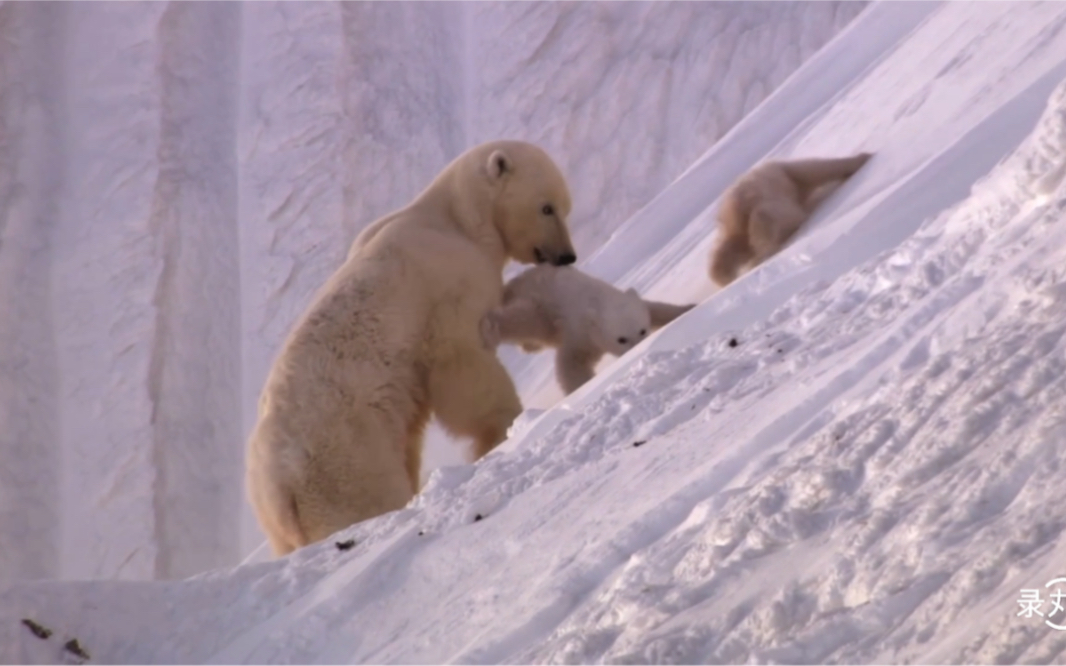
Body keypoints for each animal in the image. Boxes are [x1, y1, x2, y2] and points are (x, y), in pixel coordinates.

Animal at [246, 140, 579, 554]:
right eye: (546, 207)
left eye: (564, 206)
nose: (567, 256)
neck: (455, 219)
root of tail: (278, 494)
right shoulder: (446, 281)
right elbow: (461, 364)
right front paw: (506, 426)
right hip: (345, 455)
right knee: (366, 498)